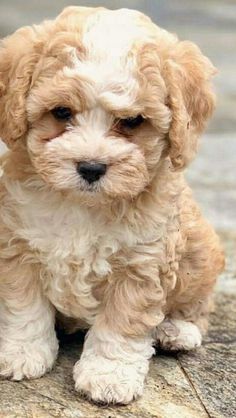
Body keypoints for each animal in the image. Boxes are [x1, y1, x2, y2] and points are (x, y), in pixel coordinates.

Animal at [0, 6, 225, 404]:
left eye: (133, 121)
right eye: (61, 112)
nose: (91, 167)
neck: (84, 206)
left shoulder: (143, 263)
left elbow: (122, 324)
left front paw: (108, 376)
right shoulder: (19, 245)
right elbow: (24, 307)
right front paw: (22, 353)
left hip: (201, 251)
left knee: (197, 304)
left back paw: (176, 331)